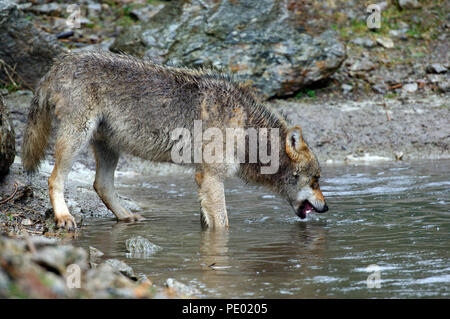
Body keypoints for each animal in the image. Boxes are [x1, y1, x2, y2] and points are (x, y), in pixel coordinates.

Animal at [21, 53, 328, 232]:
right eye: (315, 180)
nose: (327, 208)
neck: (246, 129)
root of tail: (57, 65)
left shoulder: (202, 178)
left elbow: (207, 221)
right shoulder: (212, 177)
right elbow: (223, 225)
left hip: (109, 148)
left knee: (101, 185)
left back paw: (127, 217)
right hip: (76, 138)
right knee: (54, 179)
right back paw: (64, 217)